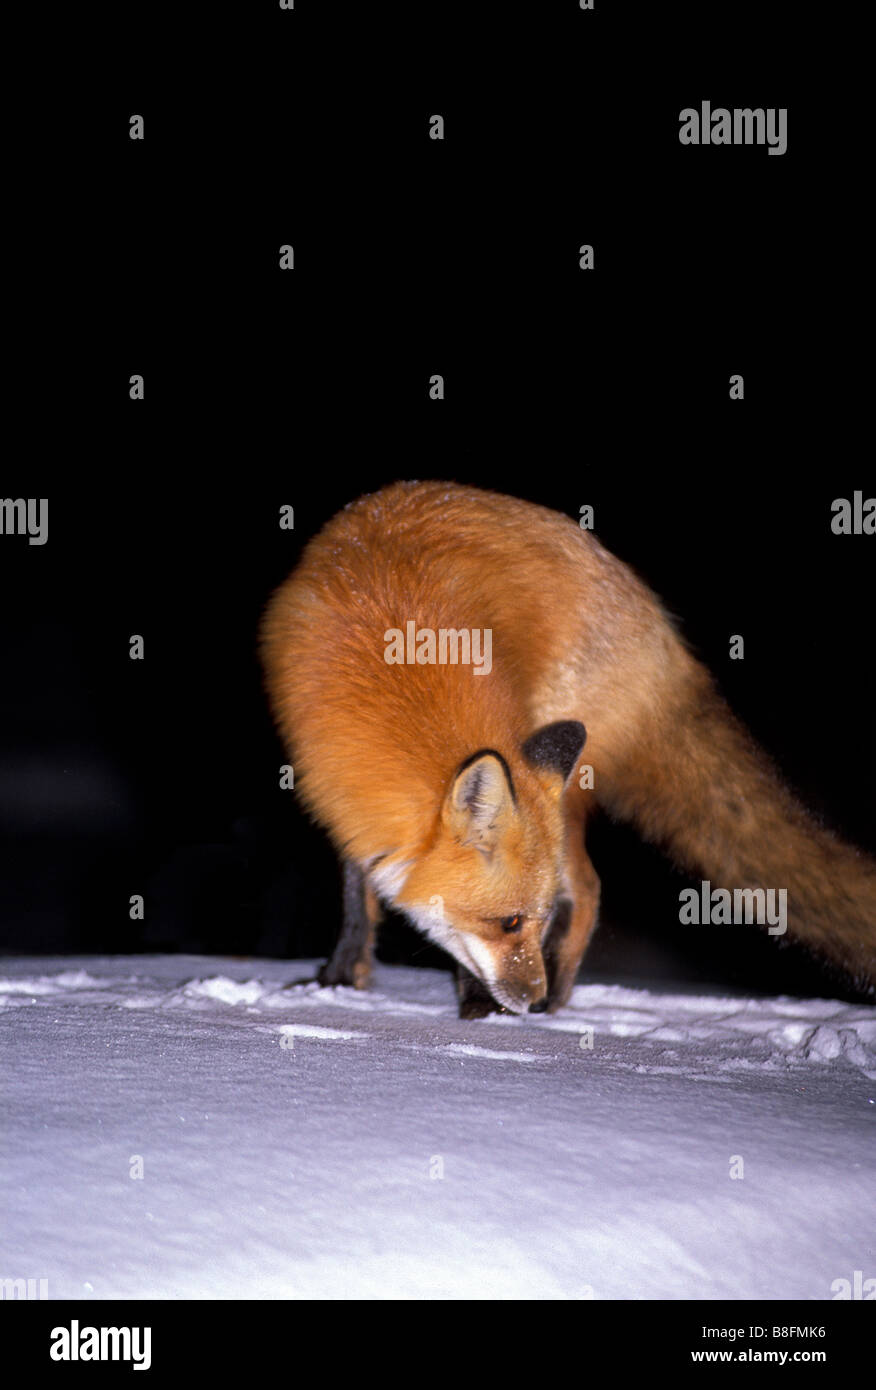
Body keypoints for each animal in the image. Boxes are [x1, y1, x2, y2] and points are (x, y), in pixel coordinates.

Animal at [258, 483, 876, 1017]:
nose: (529, 1001)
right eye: (509, 923)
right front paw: (341, 978)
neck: (389, 666)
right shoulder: (339, 789)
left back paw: (560, 996)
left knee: (592, 886)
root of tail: (661, 629)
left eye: (531, 920)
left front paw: (477, 1004)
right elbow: (355, 890)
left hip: (567, 774)